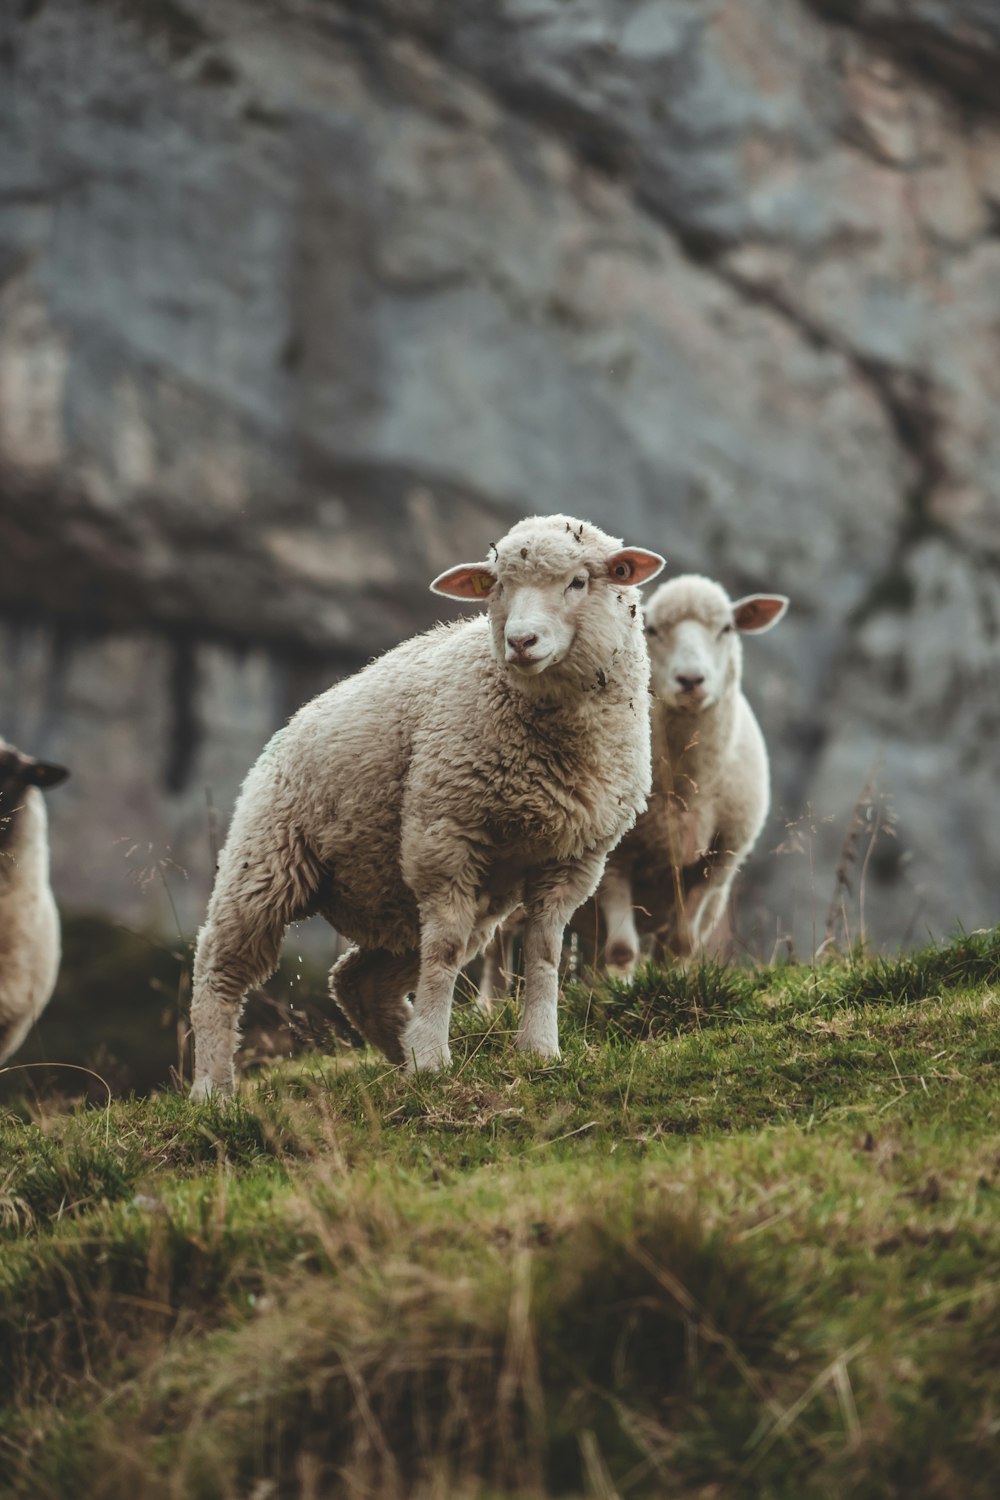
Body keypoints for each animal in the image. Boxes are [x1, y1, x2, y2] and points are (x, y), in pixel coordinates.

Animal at [191, 510, 668, 1098]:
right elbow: (443, 950)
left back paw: (401, 1049)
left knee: (357, 981)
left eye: (578, 582)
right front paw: (434, 1060)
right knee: (220, 969)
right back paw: (212, 1090)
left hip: (396, 896)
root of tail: (293, 722)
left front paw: (538, 1050)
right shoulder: (444, 832)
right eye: (497, 586)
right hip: (266, 859)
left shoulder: (576, 855)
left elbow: (545, 951)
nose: (521, 642)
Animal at [593, 573, 791, 972]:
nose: (690, 680)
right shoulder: (615, 859)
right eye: (652, 629)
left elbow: (680, 944)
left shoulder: (715, 864)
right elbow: (622, 949)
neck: (686, 789)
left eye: (727, 628)